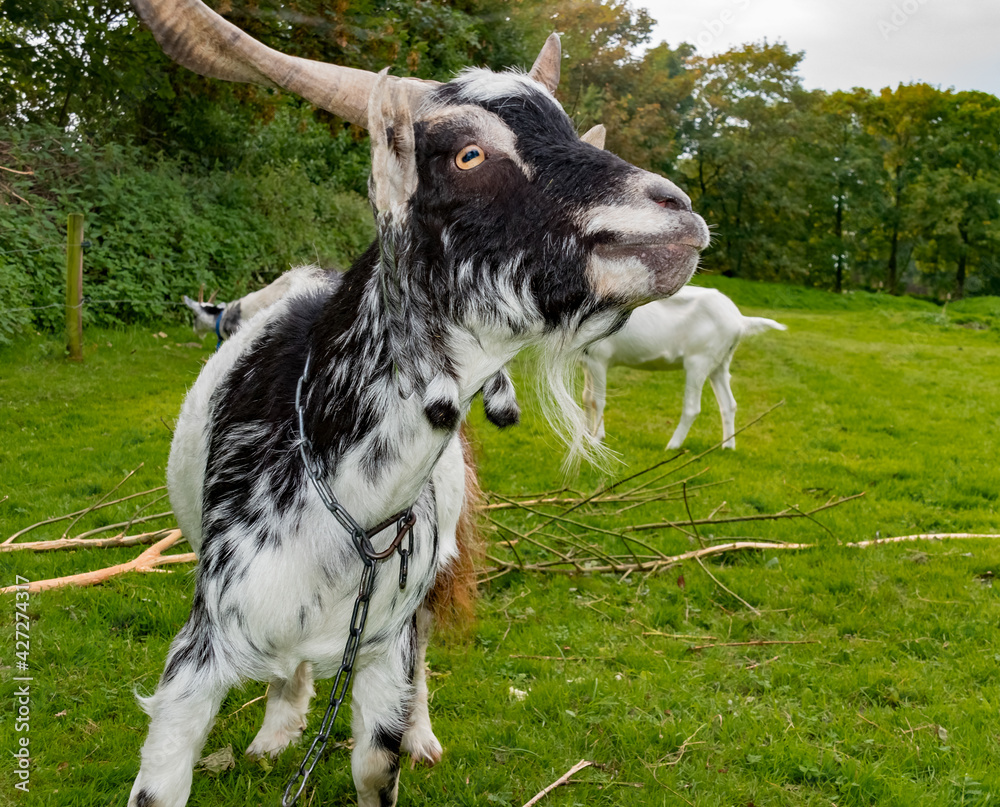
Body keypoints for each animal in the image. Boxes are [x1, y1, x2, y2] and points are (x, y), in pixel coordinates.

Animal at [129, 2, 709, 806]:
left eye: (566, 126)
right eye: (468, 154)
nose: (677, 212)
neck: (347, 507)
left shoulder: (386, 640)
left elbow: (377, 761)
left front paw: (401, 741)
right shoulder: (202, 646)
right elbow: (164, 773)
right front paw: (275, 730)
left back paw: (419, 732)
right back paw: (277, 728)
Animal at [581, 285, 786, 450]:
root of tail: (740, 320)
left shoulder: (599, 358)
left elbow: (597, 400)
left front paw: (596, 440)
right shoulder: (586, 363)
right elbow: (586, 398)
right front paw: (585, 437)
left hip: (699, 361)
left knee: (692, 407)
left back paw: (672, 445)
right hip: (719, 364)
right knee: (728, 404)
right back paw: (727, 446)